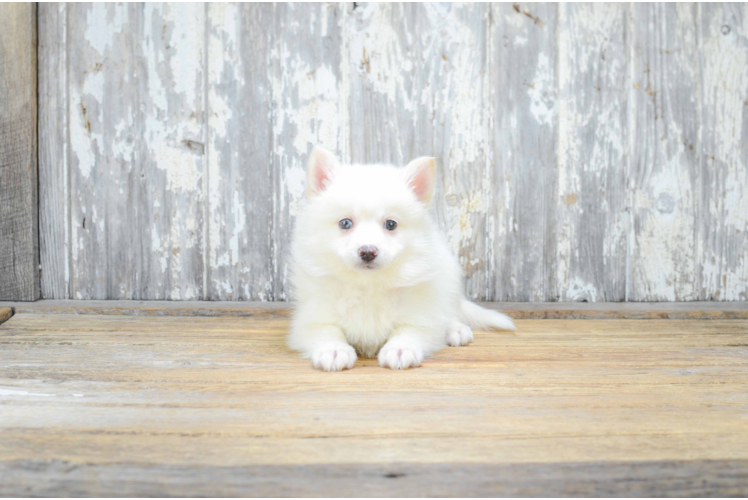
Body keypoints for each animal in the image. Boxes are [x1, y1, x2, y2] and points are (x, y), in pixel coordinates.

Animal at [286, 146, 516, 370]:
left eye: (391, 224)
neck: (369, 285)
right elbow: (326, 330)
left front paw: (400, 349)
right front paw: (333, 349)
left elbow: (410, 329)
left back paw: (455, 329)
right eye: (345, 223)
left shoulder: (420, 314)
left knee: (448, 310)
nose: (368, 252)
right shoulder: (312, 317)